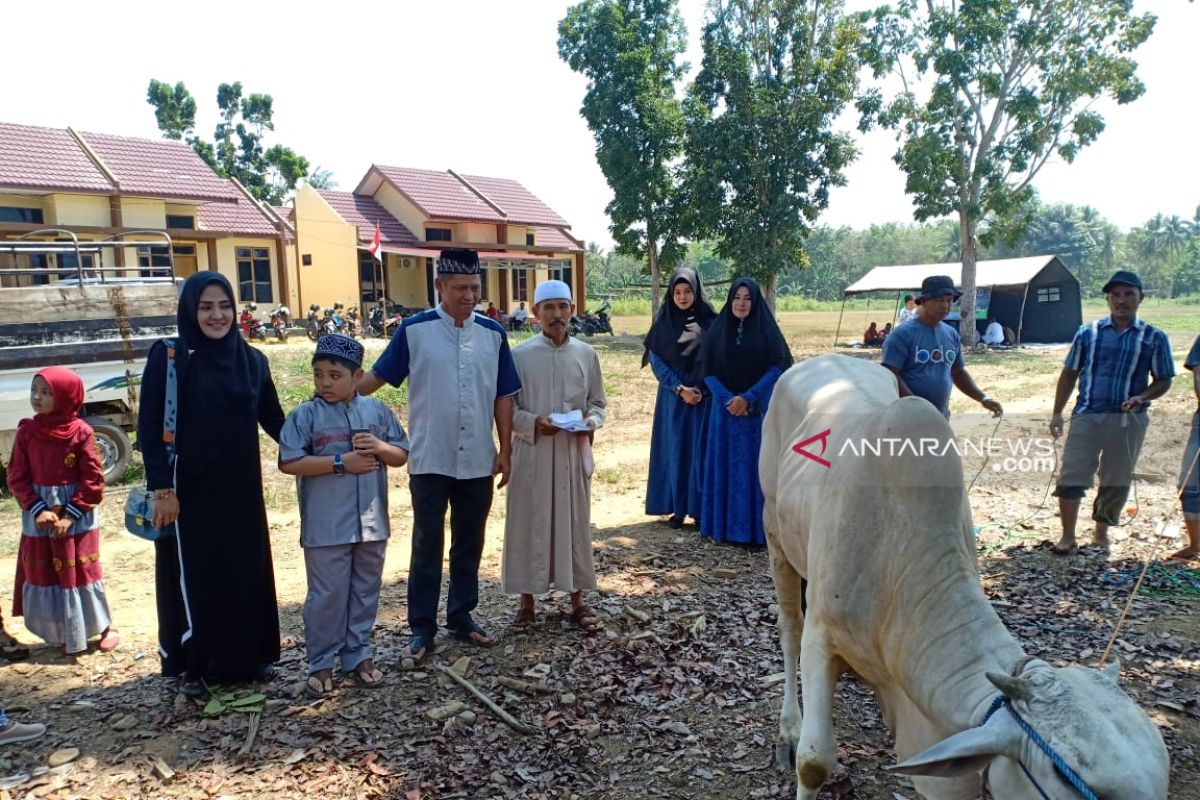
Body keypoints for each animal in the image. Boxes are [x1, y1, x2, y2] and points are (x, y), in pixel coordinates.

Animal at [763, 357, 1166, 800]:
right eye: (1064, 777)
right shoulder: (822, 635)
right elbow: (813, 762)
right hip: (774, 532)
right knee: (789, 629)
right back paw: (788, 729)